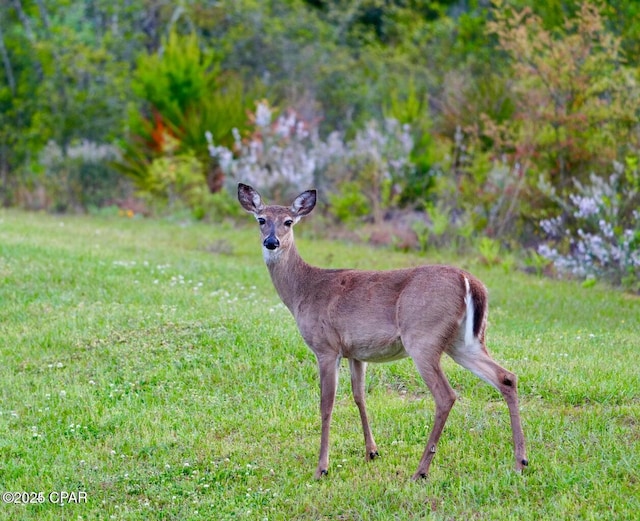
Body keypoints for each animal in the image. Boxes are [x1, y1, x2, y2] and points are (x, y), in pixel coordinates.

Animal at [238, 183, 528, 480]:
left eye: (288, 221)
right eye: (261, 220)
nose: (271, 242)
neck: (302, 291)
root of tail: (470, 281)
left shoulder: (326, 346)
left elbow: (326, 404)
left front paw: (322, 467)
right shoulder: (355, 352)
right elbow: (359, 397)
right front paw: (372, 452)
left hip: (423, 337)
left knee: (446, 395)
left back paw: (421, 471)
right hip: (463, 342)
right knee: (506, 377)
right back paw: (520, 462)